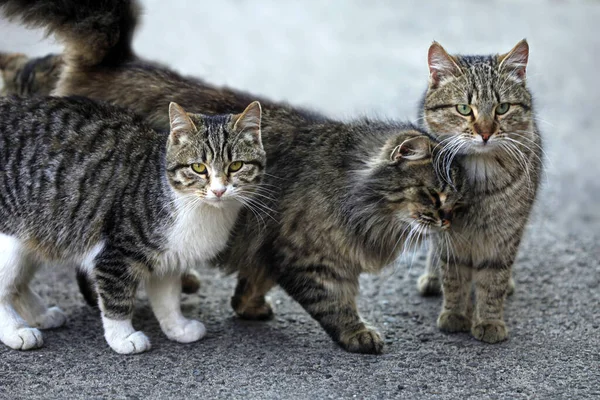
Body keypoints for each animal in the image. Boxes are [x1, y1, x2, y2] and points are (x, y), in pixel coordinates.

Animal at [0, 97, 264, 354]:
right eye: (198, 167)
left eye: (236, 166)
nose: (219, 191)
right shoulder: (115, 254)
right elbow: (117, 298)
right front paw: (123, 337)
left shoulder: (169, 256)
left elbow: (168, 298)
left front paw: (177, 327)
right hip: (10, 240)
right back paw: (16, 331)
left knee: (17, 284)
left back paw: (41, 315)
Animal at [414, 39, 540, 342]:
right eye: (463, 108)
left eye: (502, 108)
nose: (485, 132)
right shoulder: (448, 233)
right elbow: (454, 276)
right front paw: (455, 314)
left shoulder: (505, 234)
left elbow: (493, 280)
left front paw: (489, 321)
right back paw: (432, 278)